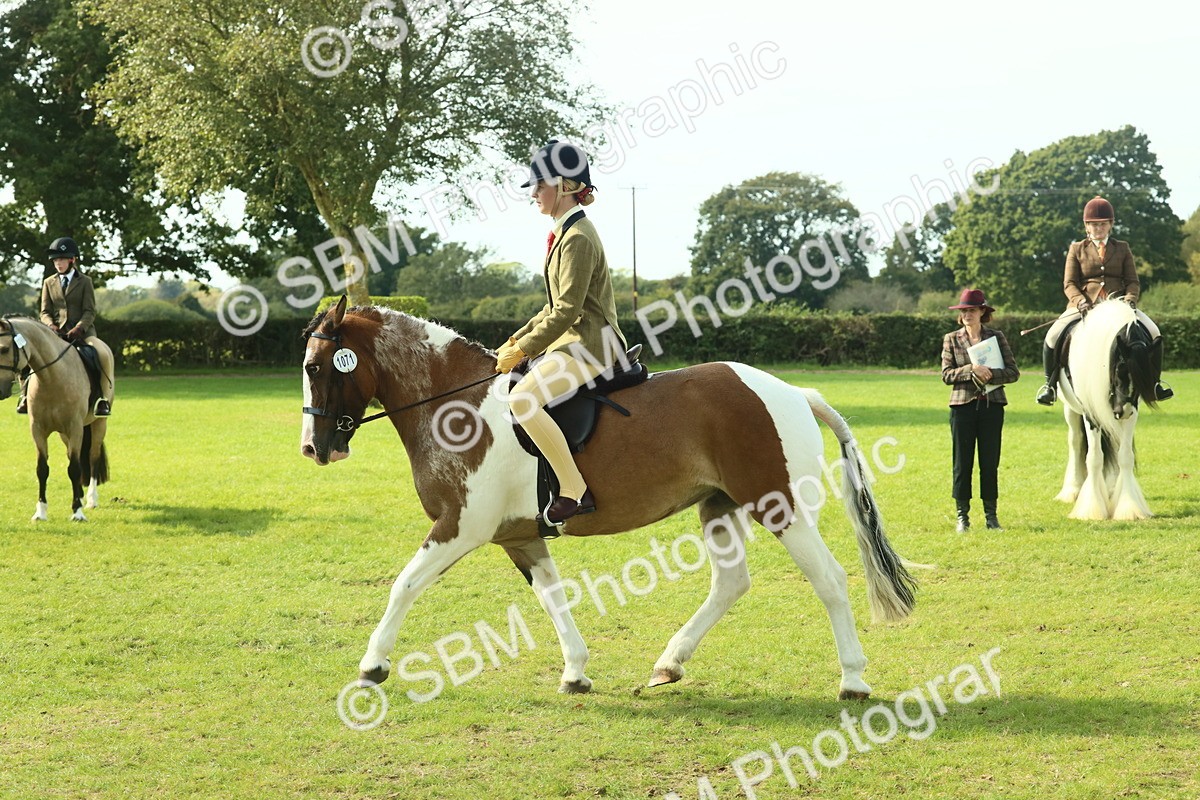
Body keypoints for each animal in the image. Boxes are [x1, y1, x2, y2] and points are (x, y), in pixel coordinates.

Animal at [0, 315, 111, 522]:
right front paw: (41, 512)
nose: (0, 390)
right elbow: (42, 469)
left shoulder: (75, 428)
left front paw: (77, 512)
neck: (52, 378)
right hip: (64, 434)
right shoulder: (38, 429)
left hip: (99, 423)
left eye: (4, 349)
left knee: (92, 457)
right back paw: (81, 496)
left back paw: (91, 499)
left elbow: (74, 468)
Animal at [299, 297, 917, 699]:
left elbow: (404, 585)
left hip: (778, 505)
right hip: (719, 505)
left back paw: (853, 679)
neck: (457, 405)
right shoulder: (519, 536)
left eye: (314, 365)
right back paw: (669, 664)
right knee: (731, 583)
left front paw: (372, 666)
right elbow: (552, 597)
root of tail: (791, 390)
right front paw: (575, 673)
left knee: (830, 580)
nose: (314, 448)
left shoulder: (461, 527)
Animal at [1053, 298, 1158, 520]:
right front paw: (1091, 508)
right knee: (1075, 442)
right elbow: (1094, 457)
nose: (1121, 410)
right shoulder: (1091, 413)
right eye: (1119, 368)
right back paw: (1073, 490)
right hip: (1071, 409)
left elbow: (1125, 456)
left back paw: (1110, 490)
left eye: (1146, 375)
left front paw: (1129, 507)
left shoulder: (1132, 412)